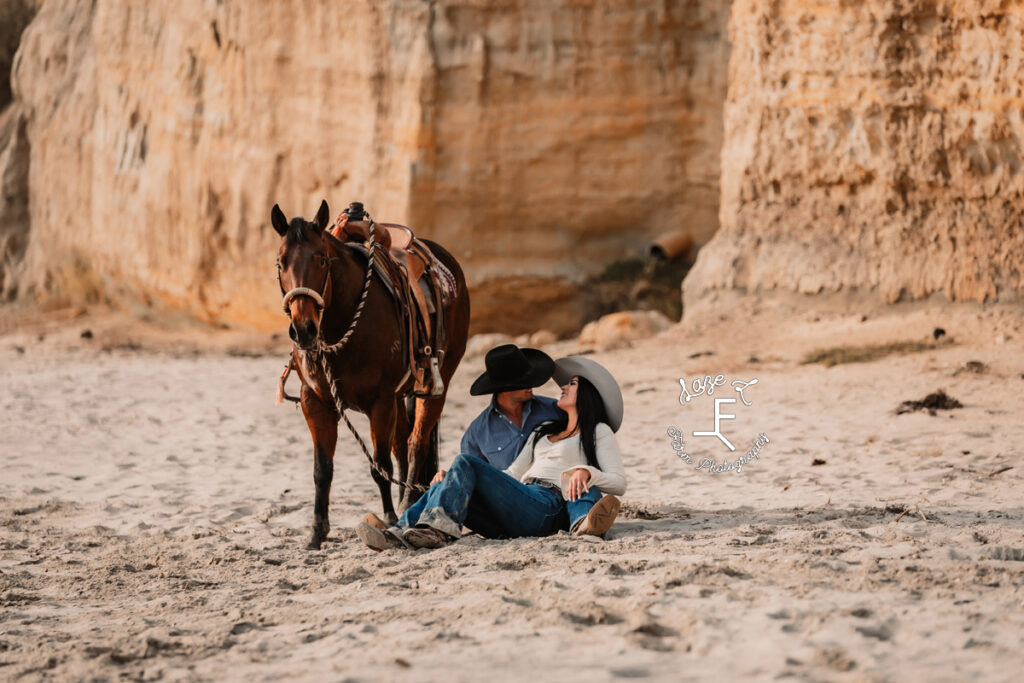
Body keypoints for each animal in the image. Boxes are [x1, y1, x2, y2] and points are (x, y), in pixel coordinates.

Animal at [268, 200, 468, 548]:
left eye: (322, 259)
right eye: (281, 263)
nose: (304, 329)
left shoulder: (381, 402)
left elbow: (380, 465)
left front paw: (387, 518)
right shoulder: (315, 402)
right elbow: (323, 470)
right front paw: (316, 533)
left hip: (435, 384)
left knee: (415, 444)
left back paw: (405, 505)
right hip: (401, 397)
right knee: (402, 445)